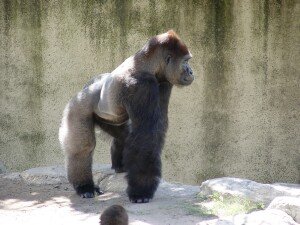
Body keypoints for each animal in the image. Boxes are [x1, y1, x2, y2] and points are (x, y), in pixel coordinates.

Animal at [59, 30, 195, 202]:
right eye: (185, 61)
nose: (191, 71)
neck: (148, 64)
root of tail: (83, 90)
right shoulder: (141, 85)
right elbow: (147, 134)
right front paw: (141, 191)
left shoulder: (164, 82)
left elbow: (156, 127)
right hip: (76, 107)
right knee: (82, 148)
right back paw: (84, 186)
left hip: (108, 118)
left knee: (123, 135)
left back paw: (119, 166)